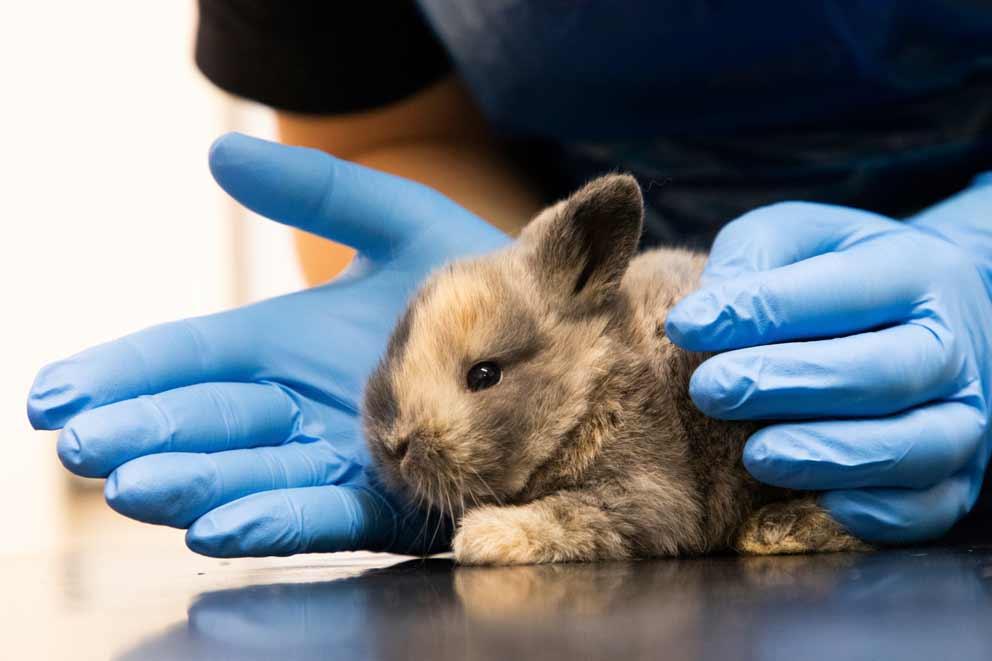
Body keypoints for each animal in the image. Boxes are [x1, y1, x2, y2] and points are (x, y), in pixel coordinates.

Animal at [362, 173, 868, 564]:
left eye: (484, 375)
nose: (395, 447)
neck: (590, 389)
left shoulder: (647, 492)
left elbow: (572, 512)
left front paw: (487, 536)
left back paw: (774, 530)